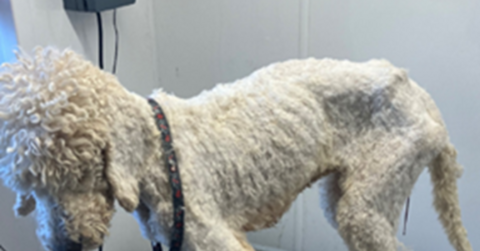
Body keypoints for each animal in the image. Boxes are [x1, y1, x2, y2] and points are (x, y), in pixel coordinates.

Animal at [0, 47, 472, 251]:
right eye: (31, 189)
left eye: (80, 172)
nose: (65, 245)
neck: (158, 156)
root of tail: (421, 95)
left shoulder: (215, 239)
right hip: (346, 194)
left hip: (371, 199)